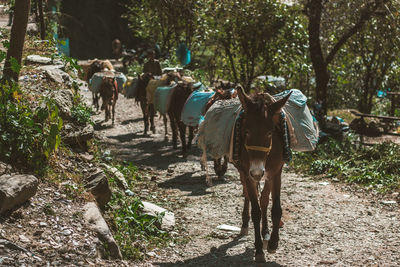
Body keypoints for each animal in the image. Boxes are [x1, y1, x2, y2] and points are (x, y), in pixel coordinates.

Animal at [233, 87, 292, 262]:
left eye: (270, 133)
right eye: (246, 132)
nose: (257, 172)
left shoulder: (276, 172)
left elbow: (275, 208)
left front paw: (273, 243)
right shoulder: (247, 174)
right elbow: (256, 211)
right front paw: (259, 250)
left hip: (268, 176)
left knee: (264, 199)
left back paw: (266, 232)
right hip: (244, 173)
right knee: (247, 195)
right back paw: (245, 224)